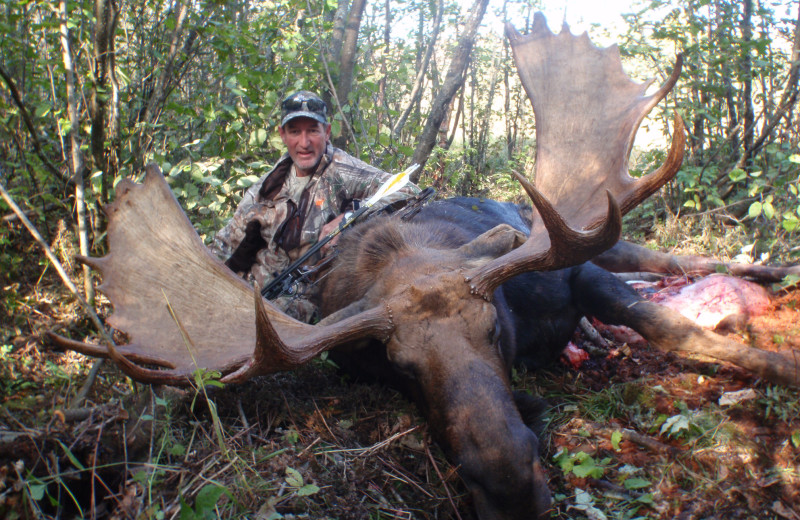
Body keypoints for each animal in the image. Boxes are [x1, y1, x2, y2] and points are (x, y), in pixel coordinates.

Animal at [51, 14, 800, 516]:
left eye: (493, 329)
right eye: (402, 368)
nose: (508, 484)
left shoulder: (577, 270)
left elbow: (677, 332)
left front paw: (779, 368)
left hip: (599, 234)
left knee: (681, 254)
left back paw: (772, 267)